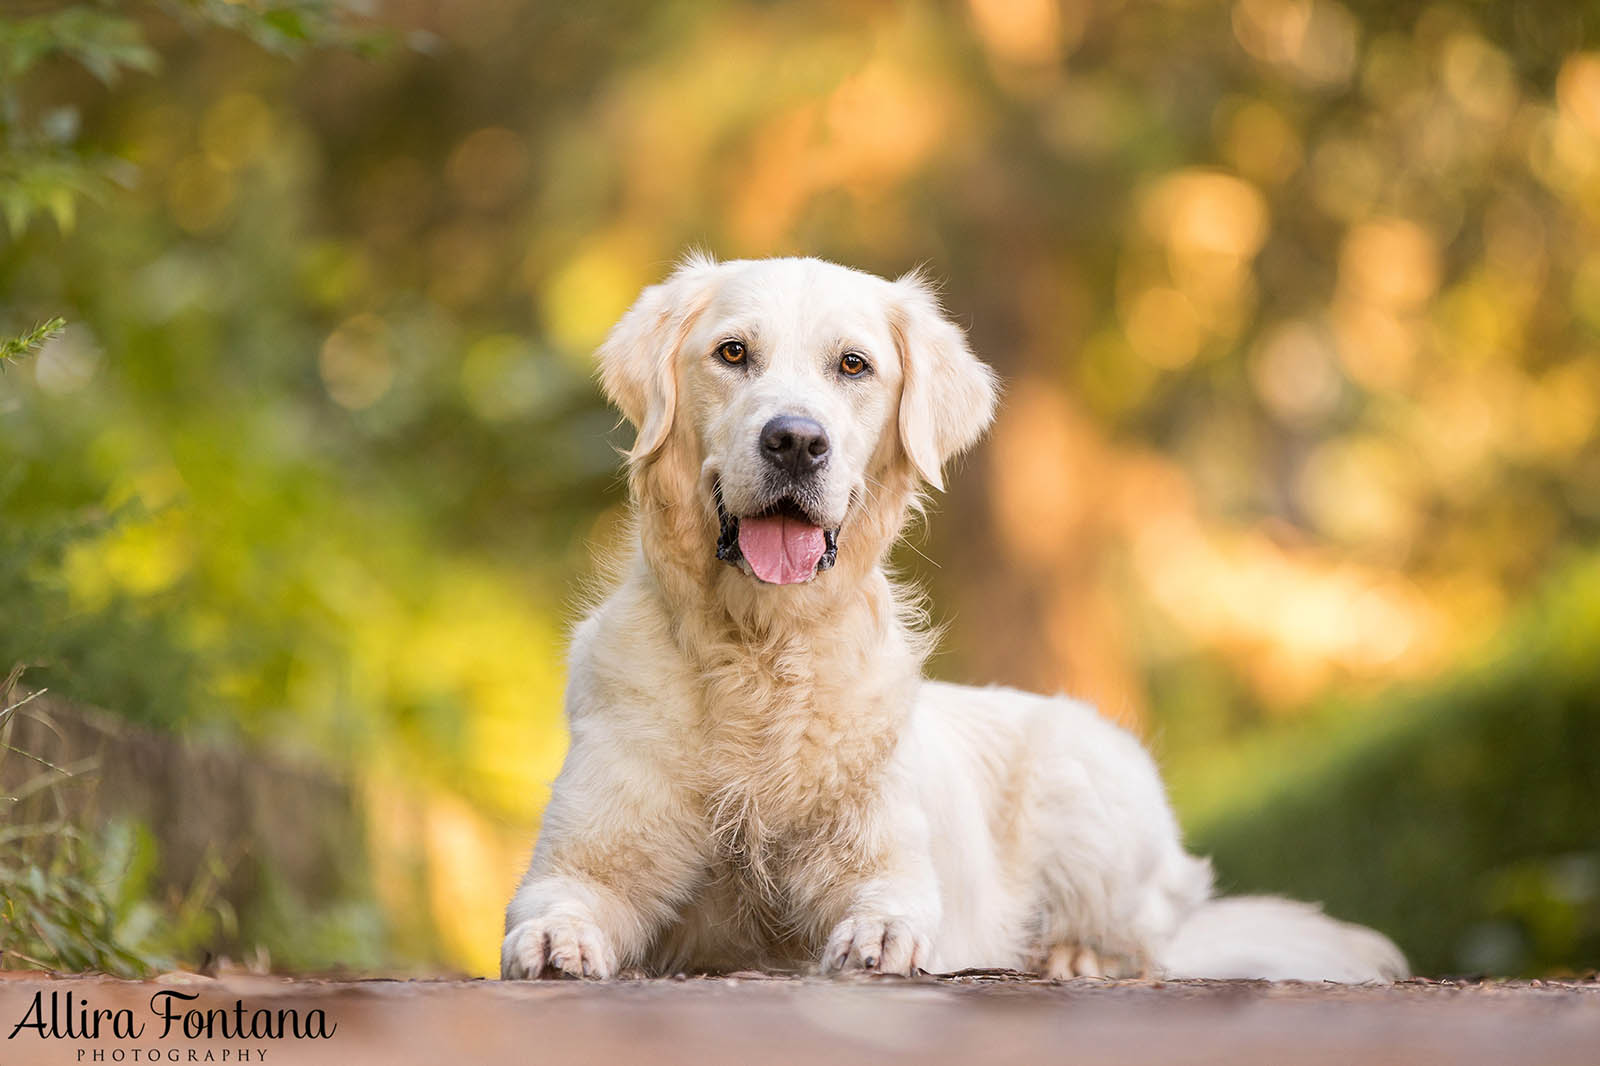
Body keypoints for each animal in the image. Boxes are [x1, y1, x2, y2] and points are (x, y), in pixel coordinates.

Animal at [496, 251, 1401, 979]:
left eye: (853, 364)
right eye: (732, 353)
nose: (796, 440)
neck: (762, 648)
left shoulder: (883, 857)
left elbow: (891, 904)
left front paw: (880, 940)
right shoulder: (585, 855)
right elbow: (559, 898)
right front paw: (554, 941)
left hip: (1089, 788)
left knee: (1146, 942)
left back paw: (1072, 958)